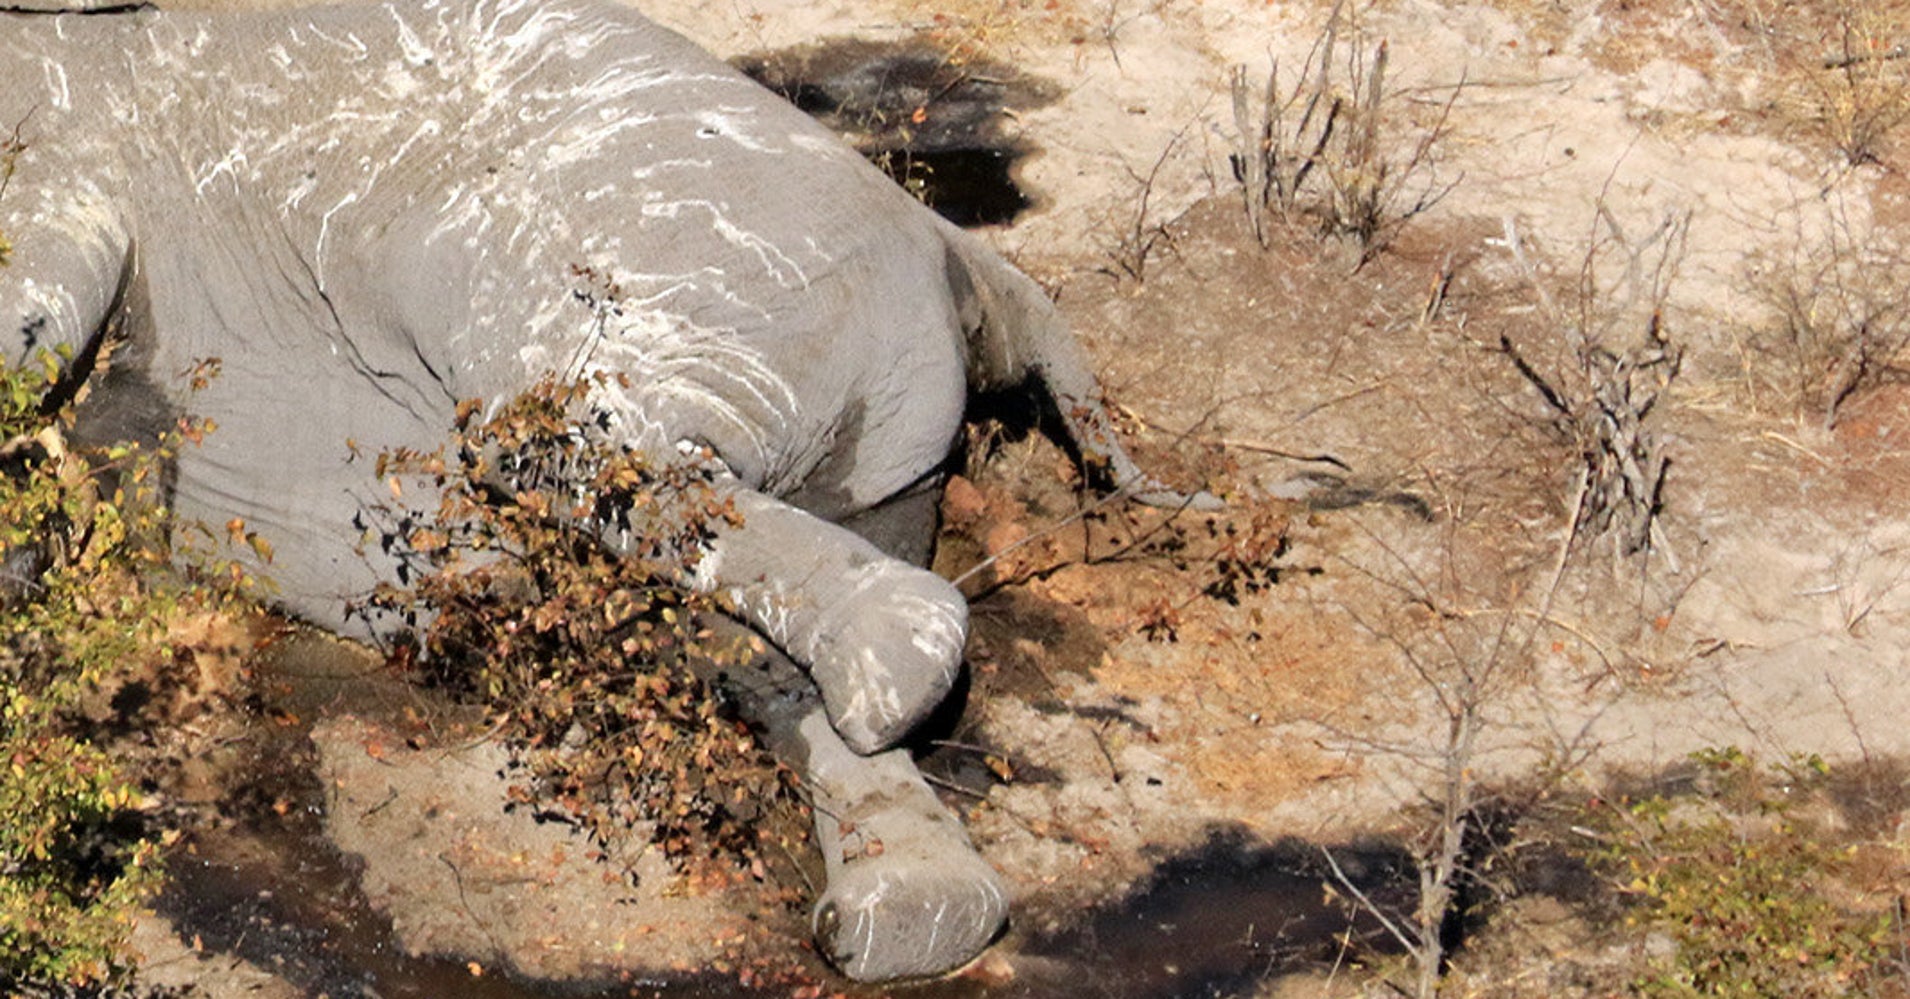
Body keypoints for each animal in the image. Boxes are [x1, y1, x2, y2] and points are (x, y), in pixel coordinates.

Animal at [0, 0, 1211, 981]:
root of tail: (968, 256)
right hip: (874, 446)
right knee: (720, 639)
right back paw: (911, 909)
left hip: (644, 272)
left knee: (592, 456)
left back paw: (895, 679)